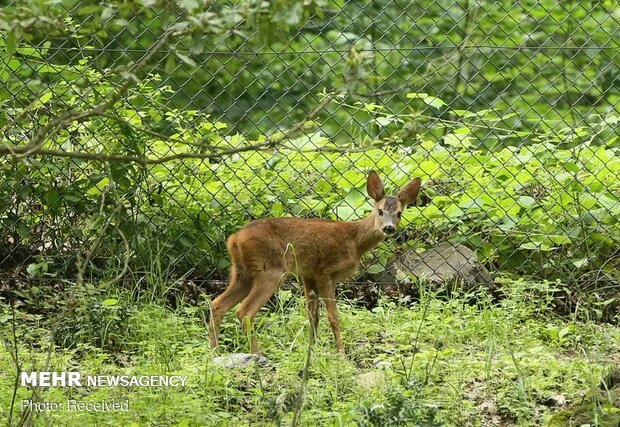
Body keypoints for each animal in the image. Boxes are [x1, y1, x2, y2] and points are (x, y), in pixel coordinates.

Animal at [208, 170, 422, 354]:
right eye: (380, 211)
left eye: (399, 213)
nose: (389, 228)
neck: (355, 241)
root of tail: (234, 239)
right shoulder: (325, 272)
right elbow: (333, 316)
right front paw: (341, 354)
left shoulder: (308, 274)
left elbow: (313, 315)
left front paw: (313, 348)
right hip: (272, 270)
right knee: (244, 311)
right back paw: (257, 354)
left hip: (242, 273)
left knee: (217, 305)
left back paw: (215, 351)